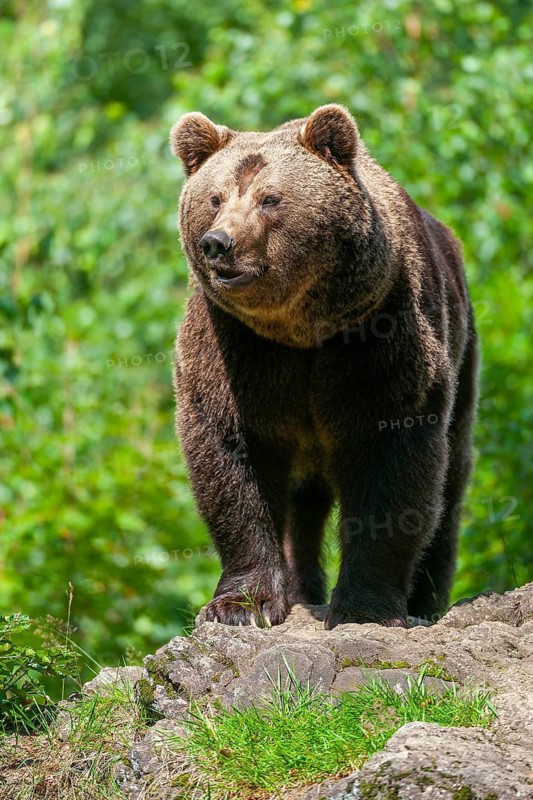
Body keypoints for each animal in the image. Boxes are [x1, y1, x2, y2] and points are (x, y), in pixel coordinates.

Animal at [169, 104, 478, 630]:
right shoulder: (236, 345)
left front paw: (366, 608)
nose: (218, 243)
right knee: (303, 506)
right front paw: (242, 606)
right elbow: (230, 456)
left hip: (464, 352)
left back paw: (426, 600)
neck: (300, 328)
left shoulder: (378, 335)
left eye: (270, 198)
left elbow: (391, 463)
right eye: (214, 198)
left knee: (449, 486)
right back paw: (300, 588)